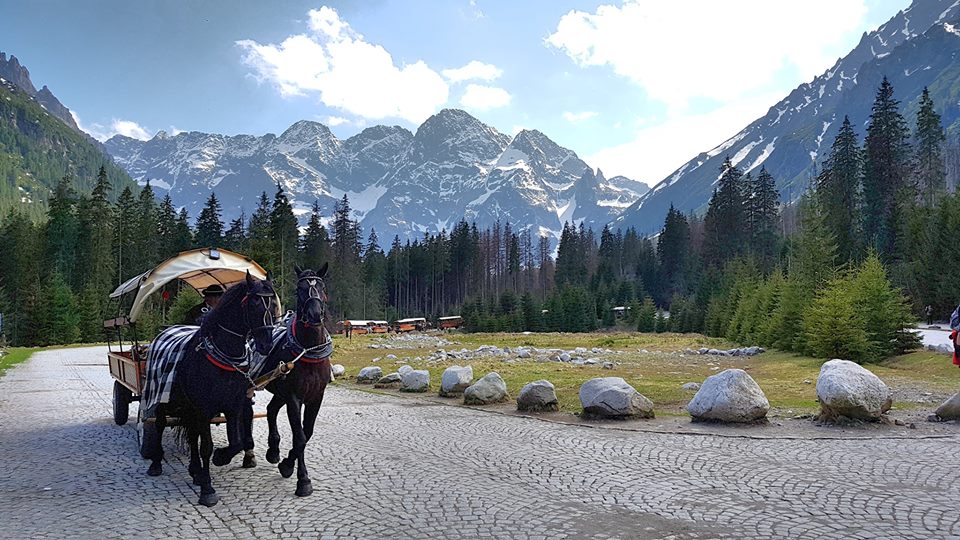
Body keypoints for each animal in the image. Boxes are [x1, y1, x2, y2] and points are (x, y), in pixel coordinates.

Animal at [142, 274, 278, 506]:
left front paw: (220, 458)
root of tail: (165, 331)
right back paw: (156, 463)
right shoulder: (204, 409)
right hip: (161, 398)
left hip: (188, 406)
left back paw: (195, 470)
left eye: (274, 304)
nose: (266, 345)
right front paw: (207, 489)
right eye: (254, 303)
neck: (223, 358)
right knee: (159, 425)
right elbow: (206, 446)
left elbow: (237, 442)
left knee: (192, 434)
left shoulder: (234, 406)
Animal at [217, 264, 334, 496]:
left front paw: (287, 463)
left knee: (270, 410)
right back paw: (248, 449)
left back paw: (273, 449)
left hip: (279, 389)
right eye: (299, 289)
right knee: (246, 413)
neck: (308, 350)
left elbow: (307, 433)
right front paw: (302, 480)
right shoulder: (294, 398)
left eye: (323, 288)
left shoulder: (316, 397)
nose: (315, 314)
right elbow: (299, 436)